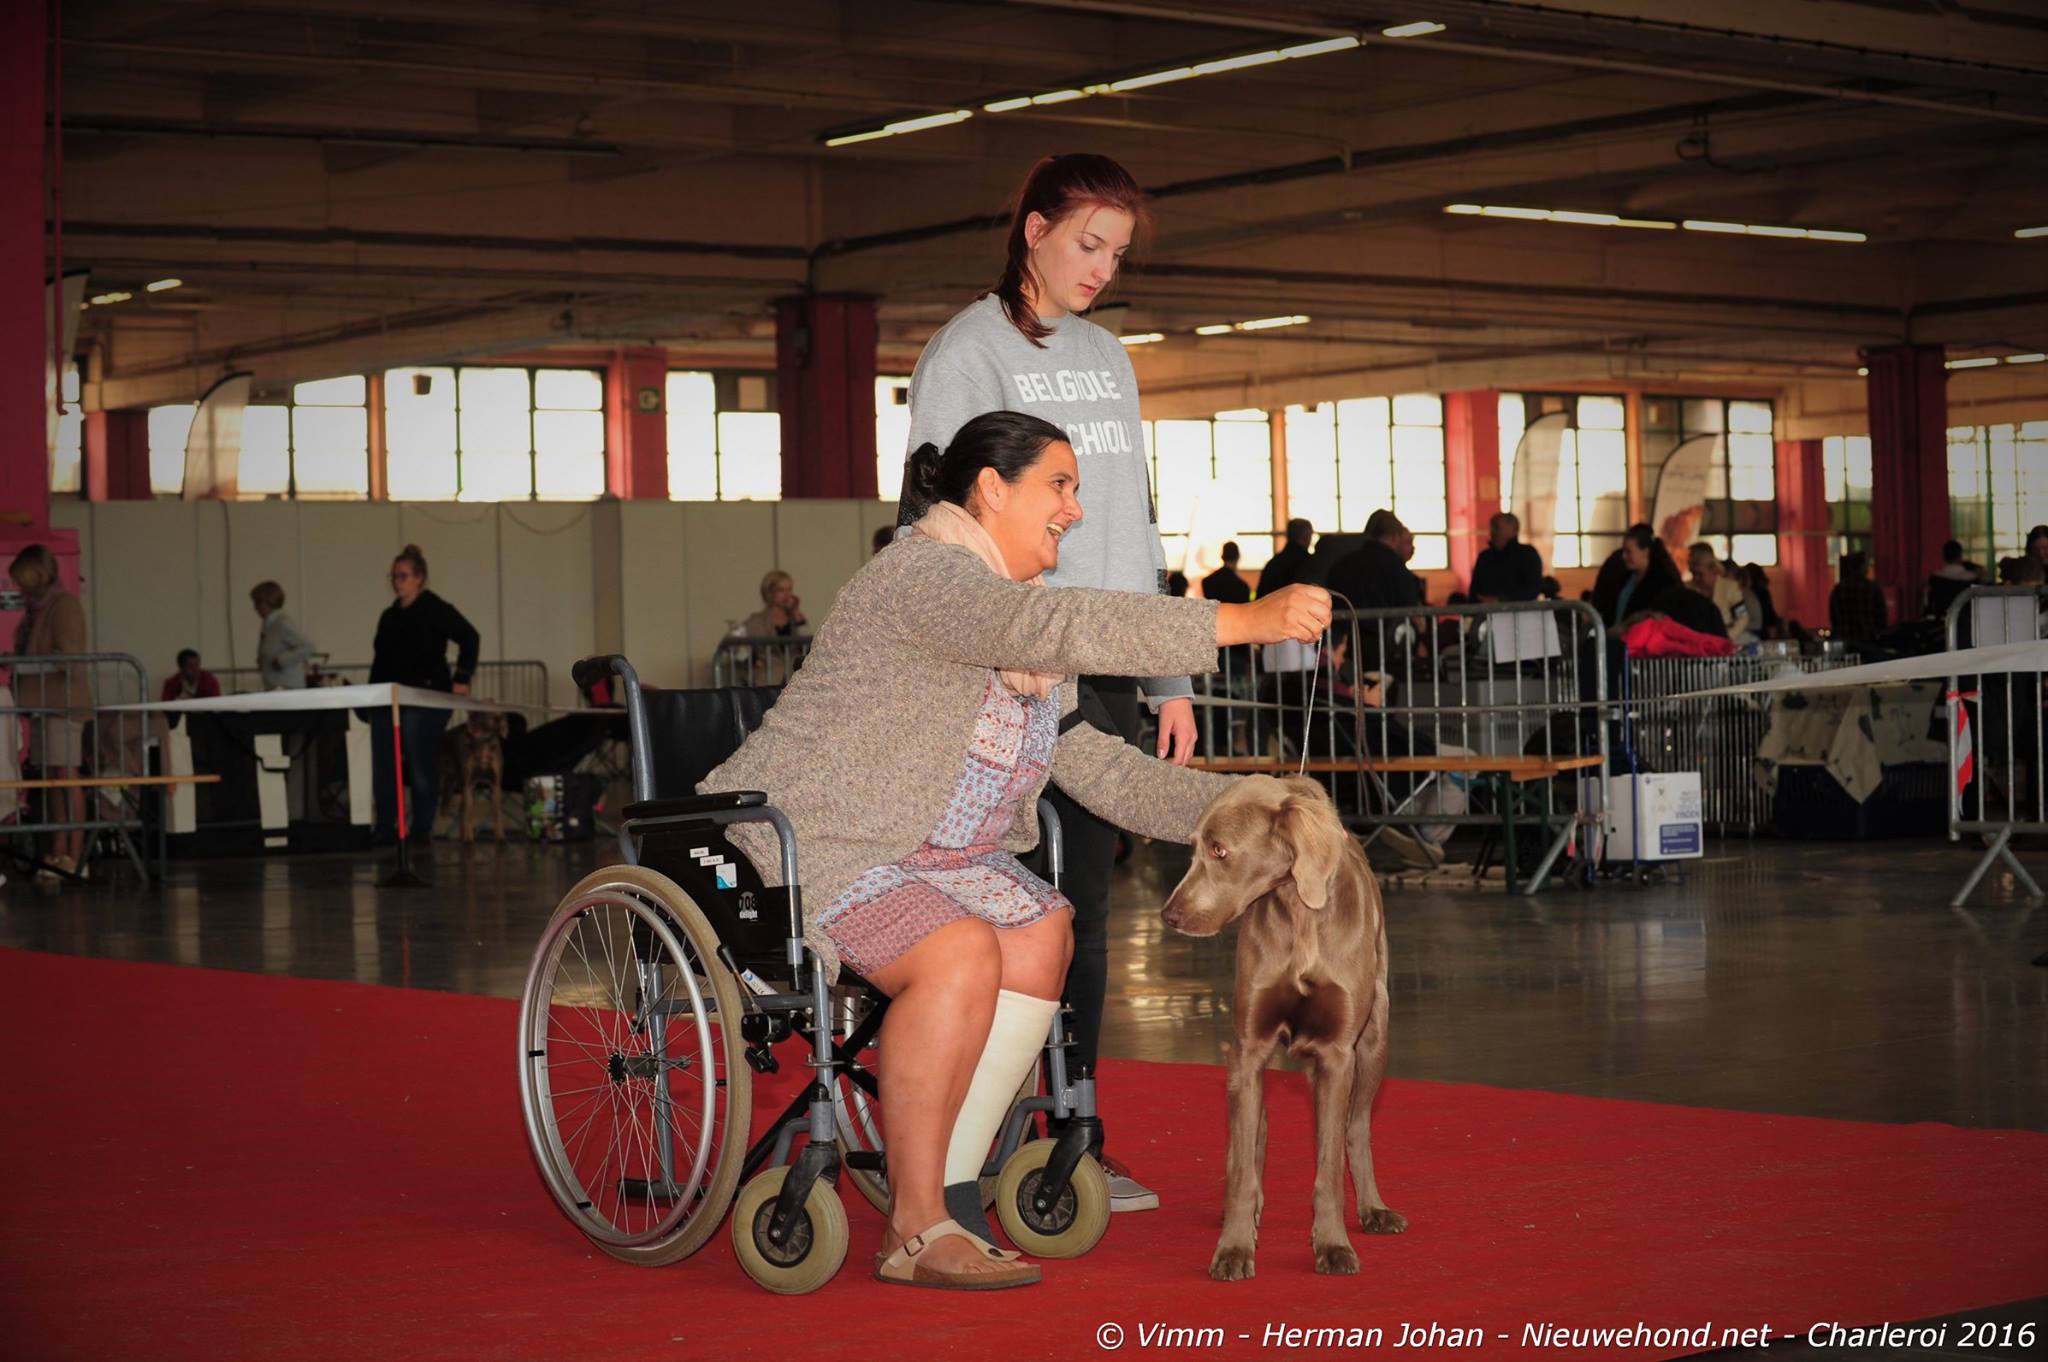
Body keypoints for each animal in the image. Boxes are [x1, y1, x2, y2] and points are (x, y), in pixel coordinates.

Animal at [1163, 774, 1400, 1278]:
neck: (1299, 912)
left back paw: (1373, 1208)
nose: (1168, 916)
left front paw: (1333, 1244)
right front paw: (1234, 1248)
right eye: (1193, 848)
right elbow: (1244, 1165)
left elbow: (1329, 1167)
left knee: (1357, 1126)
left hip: (1375, 1037)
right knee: (1253, 1137)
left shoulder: (1337, 1053)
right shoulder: (1250, 1047)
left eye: (1220, 851)